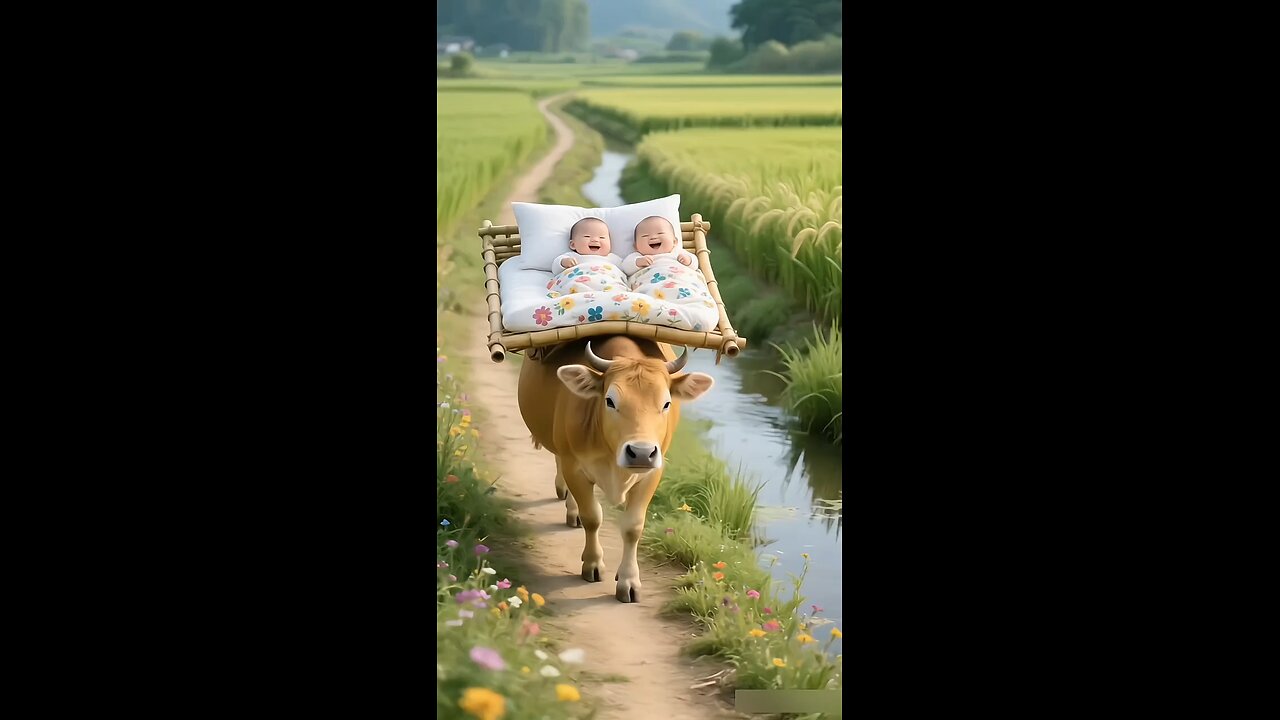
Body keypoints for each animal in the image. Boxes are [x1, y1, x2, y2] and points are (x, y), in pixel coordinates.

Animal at [517, 335, 714, 603]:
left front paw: (629, 581)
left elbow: (633, 527)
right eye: (610, 401)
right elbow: (592, 517)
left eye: (666, 403)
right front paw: (593, 564)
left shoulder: (652, 474)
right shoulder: (574, 467)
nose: (641, 452)